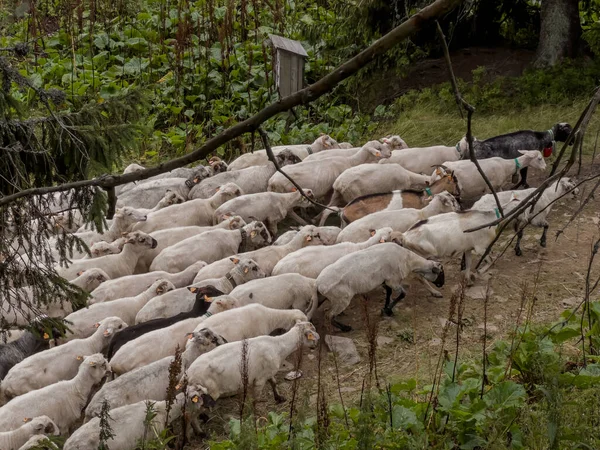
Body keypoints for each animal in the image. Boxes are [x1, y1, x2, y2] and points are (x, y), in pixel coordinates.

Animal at [185, 322, 318, 402]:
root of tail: (188, 373)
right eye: (311, 333)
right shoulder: (259, 380)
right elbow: (256, 397)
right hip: (205, 393)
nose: (317, 342)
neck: (278, 345)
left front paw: (279, 398)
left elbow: (274, 383)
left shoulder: (267, 372)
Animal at [318, 243, 446, 330]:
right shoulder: (393, 280)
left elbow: (389, 293)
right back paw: (345, 328)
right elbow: (403, 294)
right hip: (341, 299)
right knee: (328, 315)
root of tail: (319, 284)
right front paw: (388, 310)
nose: (442, 285)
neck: (408, 259)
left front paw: (386, 309)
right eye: (441, 273)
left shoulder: (386, 281)